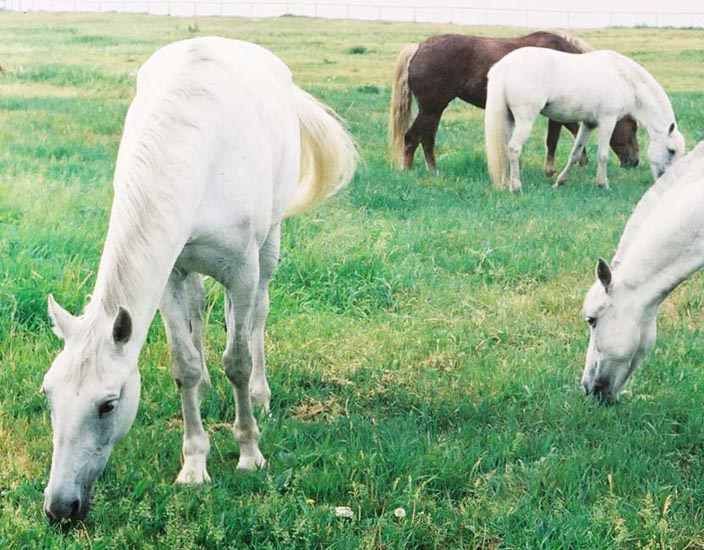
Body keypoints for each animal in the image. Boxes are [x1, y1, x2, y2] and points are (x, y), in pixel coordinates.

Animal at [40, 36, 357, 523]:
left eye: (108, 404)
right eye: (49, 395)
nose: (60, 506)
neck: (197, 150)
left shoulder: (241, 269)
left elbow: (239, 358)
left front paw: (249, 452)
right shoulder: (170, 273)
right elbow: (184, 363)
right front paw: (193, 464)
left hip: (268, 247)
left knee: (256, 317)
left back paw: (261, 396)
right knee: (200, 312)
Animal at [389, 31, 639, 174]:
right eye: (633, 128)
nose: (634, 162)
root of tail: (418, 47)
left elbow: (574, 130)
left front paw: (580, 161)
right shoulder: (555, 114)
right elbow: (554, 139)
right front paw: (551, 169)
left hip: (435, 109)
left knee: (427, 139)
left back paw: (432, 169)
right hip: (431, 109)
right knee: (412, 137)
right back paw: (407, 170)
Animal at [485, 47, 685, 192]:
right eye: (671, 150)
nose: (669, 183)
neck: (625, 78)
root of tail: (504, 66)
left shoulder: (589, 124)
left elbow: (575, 153)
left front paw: (560, 182)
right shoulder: (608, 121)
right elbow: (602, 155)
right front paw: (603, 184)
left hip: (509, 121)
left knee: (505, 150)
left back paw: (506, 183)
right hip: (525, 120)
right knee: (514, 149)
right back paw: (516, 187)